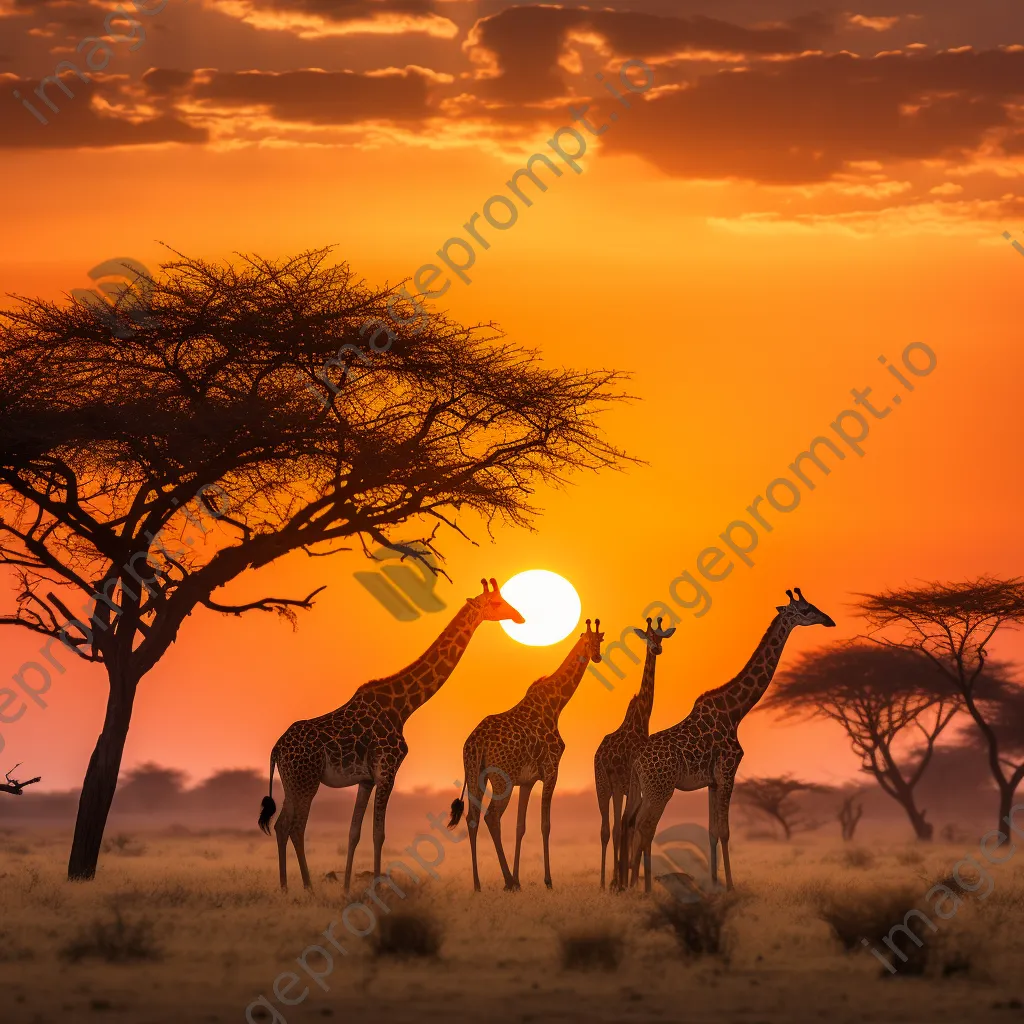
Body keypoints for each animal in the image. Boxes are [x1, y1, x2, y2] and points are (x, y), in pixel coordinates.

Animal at [260, 577, 524, 888]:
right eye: (496, 602)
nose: (519, 617)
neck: (401, 707)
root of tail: (277, 749)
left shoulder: (366, 779)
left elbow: (354, 832)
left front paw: (347, 887)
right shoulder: (387, 771)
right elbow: (379, 834)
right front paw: (375, 885)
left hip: (292, 782)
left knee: (281, 825)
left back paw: (285, 887)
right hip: (306, 781)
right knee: (295, 826)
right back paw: (307, 887)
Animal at [450, 618, 606, 892]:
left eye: (601, 640)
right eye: (587, 641)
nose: (596, 656)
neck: (555, 705)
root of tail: (476, 742)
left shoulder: (527, 781)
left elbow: (520, 827)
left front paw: (520, 876)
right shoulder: (551, 771)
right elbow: (545, 825)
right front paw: (547, 880)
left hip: (475, 775)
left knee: (472, 818)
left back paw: (480, 884)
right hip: (502, 780)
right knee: (491, 817)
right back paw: (507, 881)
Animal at [598, 614, 675, 888]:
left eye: (661, 637)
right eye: (648, 637)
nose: (657, 649)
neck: (642, 718)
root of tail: (600, 756)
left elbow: (632, 826)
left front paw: (630, 879)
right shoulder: (633, 782)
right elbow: (631, 826)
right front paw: (628, 880)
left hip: (608, 786)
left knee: (611, 827)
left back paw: (610, 881)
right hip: (611, 785)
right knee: (615, 827)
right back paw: (611, 881)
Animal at [614, 589, 831, 892]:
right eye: (806, 609)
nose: (829, 620)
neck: (736, 711)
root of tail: (636, 760)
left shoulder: (712, 780)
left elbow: (712, 831)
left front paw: (715, 882)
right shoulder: (728, 770)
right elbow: (726, 831)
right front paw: (730, 885)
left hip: (643, 788)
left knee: (632, 824)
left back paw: (633, 884)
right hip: (661, 789)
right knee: (645, 827)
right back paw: (641, 887)